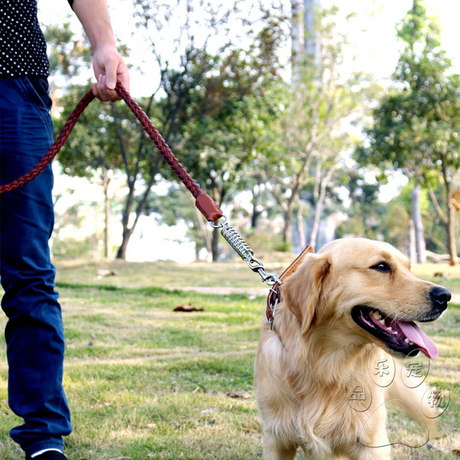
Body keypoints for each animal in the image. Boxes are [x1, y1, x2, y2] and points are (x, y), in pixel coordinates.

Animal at [256, 239, 452, 458]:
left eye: (409, 269)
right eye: (381, 266)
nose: (445, 296)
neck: (326, 365)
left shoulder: (372, 444)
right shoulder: (276, 439)